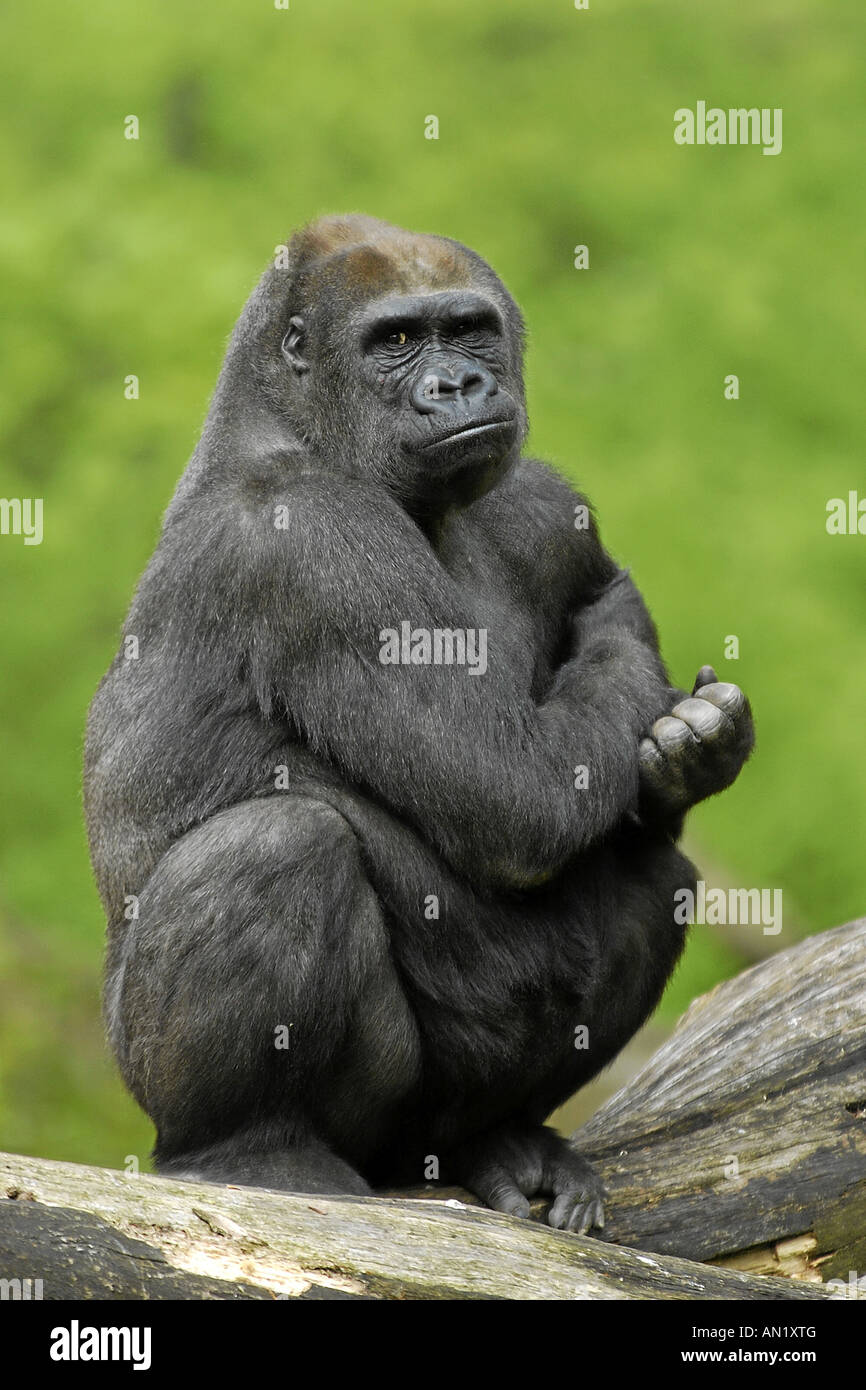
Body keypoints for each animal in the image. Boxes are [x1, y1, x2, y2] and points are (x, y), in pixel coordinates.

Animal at [84, 216, 756, 1239]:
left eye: (468, 331)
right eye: (395, 342)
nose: (459, 387)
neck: (290, 420)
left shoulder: (541, 501)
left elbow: (591, 626)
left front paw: (693, 750)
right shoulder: (313, 539)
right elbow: (521, 795)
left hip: (434, 1128)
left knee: (656, 875)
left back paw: (501, 1139)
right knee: (279, 844)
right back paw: (244, 1150)